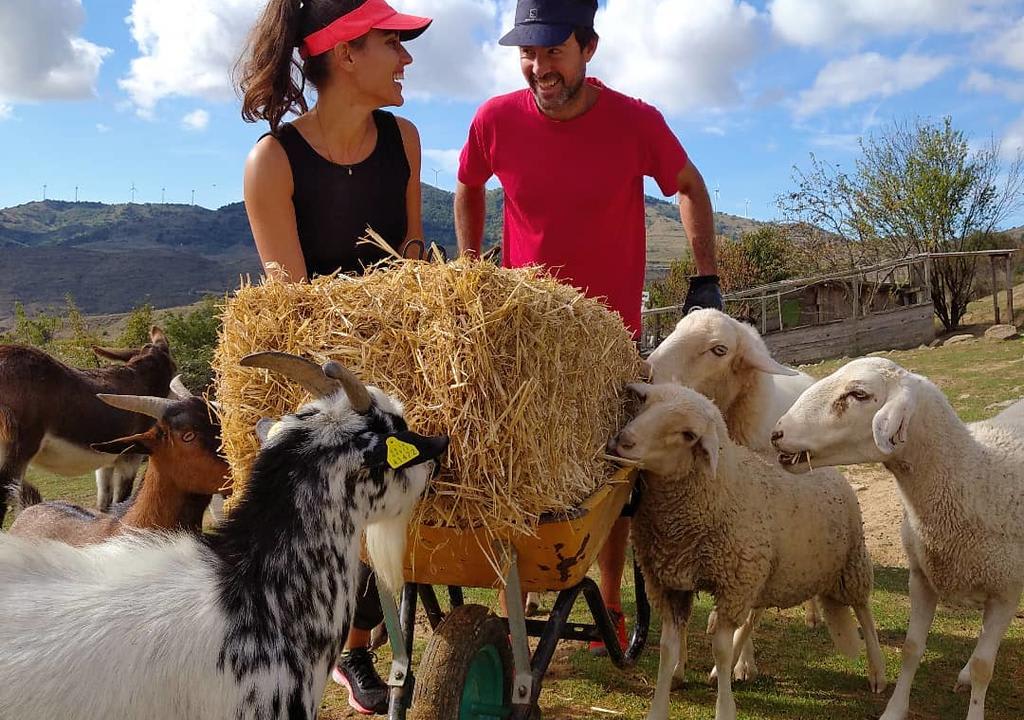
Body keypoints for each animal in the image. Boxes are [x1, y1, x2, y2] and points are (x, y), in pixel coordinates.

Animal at [0, 327, 176, 524]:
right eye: (175, 367)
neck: (141, 379)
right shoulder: (130, 459)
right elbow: (121, 501)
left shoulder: (106, 461)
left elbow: (104, 506)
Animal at [606, 383, 888, 720]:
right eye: (646, 403)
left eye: (688, 434)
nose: (623, 441)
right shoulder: (672, 583)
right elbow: (668, 648)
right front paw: (661, 703)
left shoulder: (734, 584)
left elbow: (721, 648)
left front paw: (724, 708)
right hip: (772, 572)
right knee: (755, 615)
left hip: (851, 561)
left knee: (864, 611)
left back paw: (877, 672)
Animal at [770, 356, 1024, 720]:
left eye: (859, 394)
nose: (777, 434)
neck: (974, 478)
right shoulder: (921, 578)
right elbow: (911, 648)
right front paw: (894, 709)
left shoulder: (1005, 592)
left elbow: (982, 668)